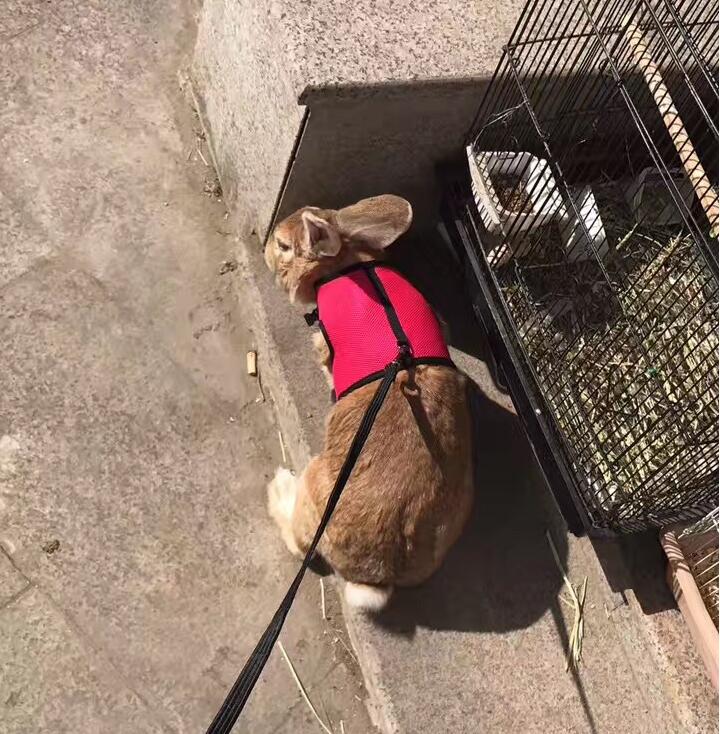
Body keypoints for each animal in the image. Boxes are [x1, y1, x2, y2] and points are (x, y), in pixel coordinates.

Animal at [264, 195, 474, 612]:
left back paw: (279, 490)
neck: (345, 263)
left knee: (300, 544)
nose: (264, 250)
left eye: (283, 246)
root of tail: (378, 573)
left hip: (315, 485)